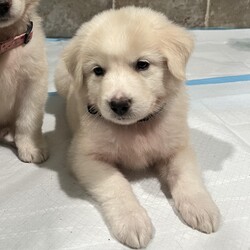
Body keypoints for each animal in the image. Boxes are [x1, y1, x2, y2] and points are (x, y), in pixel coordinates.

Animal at [55, 6, 220, 249]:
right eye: (98, 70)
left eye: (142, 65)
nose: (118, 104)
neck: (136, 127)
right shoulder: (84, 158)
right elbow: (116, 185)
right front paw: (132, 222)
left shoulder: (178, 147)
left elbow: (187, 175)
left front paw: (201, 207)